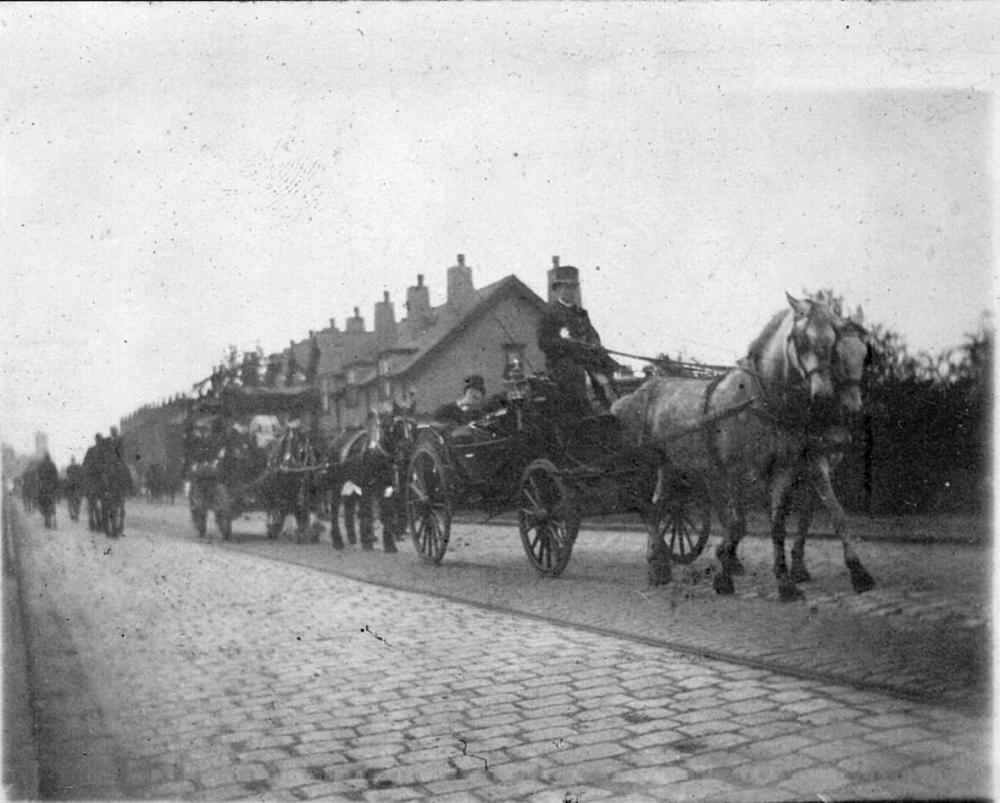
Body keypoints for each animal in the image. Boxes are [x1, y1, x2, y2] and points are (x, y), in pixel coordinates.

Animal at [608, 292, 876, 600]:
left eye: (834, 342)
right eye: (803, 340)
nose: (823, 395)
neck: (759, 399)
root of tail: (631, 395)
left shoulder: (786, 469)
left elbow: (785, 522)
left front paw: (788, 582)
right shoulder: (735, 473)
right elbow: (737, 524)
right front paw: (724, 573)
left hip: (669, 465)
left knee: (658, 506)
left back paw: (658, 562)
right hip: (641, 464)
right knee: (645, 508)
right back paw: (660, 566)